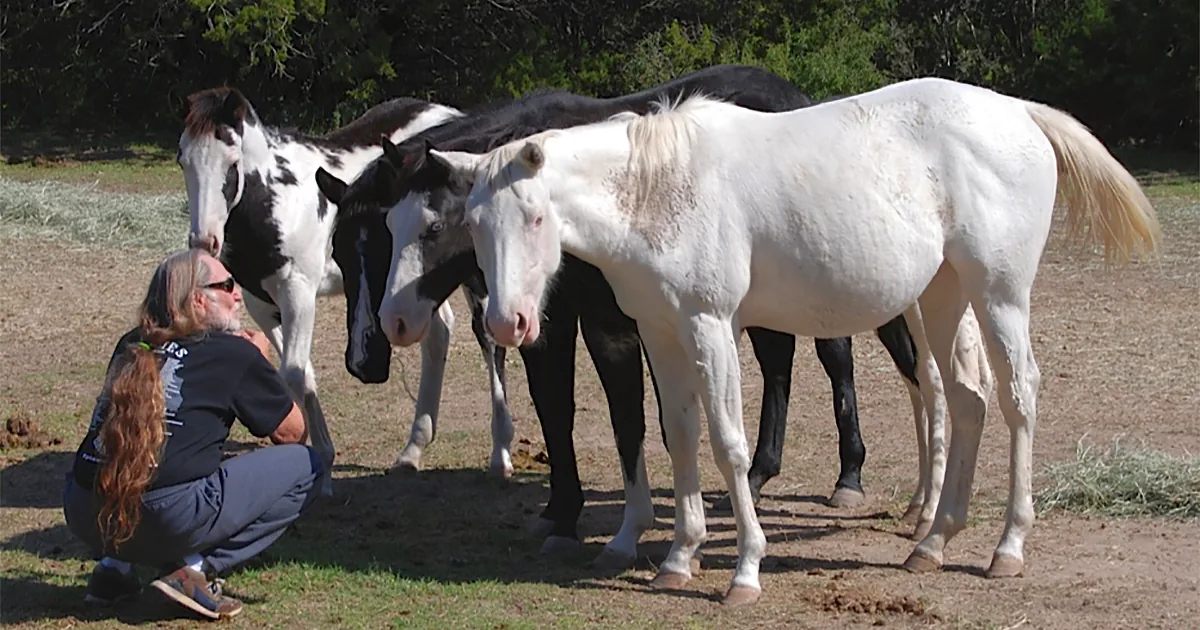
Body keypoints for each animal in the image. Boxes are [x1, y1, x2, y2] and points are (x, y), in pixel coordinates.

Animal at [176, 88, 520, 492]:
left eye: (232, 162)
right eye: (182, 161)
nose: (204, 241)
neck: (277, 201)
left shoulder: (298, 293)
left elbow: (294, 372)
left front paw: (323, 467)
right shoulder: (260, 303)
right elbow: (301, 375)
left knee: (489, 340)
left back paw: (500, 454)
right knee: (438, 332)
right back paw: (412, 450)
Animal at [314, 65, 950, 568]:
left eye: (433, 228)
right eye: (343, 247)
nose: (375, 344)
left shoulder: (607, 323)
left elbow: (631, 418)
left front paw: (619, 526)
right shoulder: (557, 324)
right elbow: (564, 410)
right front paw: (562, 513)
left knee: (840, 358)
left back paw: (851, 477)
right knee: (779, 364)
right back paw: (761, 472)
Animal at [431, 77, 1162, 604]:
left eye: (534, 216)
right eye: (474, 222)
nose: (507, 322)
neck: (659, 189)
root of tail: (1020, 113)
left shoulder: (710, 326)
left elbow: (728, 443)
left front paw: (744, 571)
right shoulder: (661, 333)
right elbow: (679, 436)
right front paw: (679, 558)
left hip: (998, 293)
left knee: (1016, 397)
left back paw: (1007, 547)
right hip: (943, 294)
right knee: (966, 400)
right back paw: (932, 542)